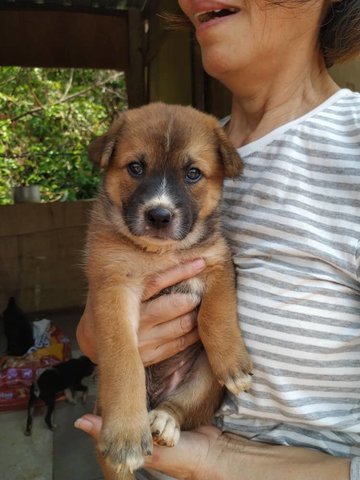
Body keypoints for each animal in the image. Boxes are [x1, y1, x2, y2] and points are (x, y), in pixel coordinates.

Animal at [85, 103, 252, 478]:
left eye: (192, 173)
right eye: (135, 167)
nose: (159, 215)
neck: (158, 254)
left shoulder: (216, 262)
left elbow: (214, 314)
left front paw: (234, 364)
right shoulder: (113, 287)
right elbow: (124, 360)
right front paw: (126, 434)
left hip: (202, 378)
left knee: (182, 408)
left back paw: (164, 420)